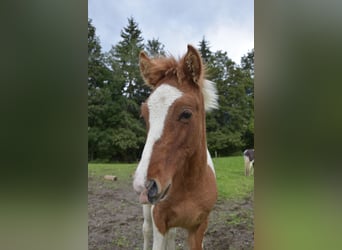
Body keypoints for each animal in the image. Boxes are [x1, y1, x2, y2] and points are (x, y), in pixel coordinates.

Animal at [132, 45, 218, 250]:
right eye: (144, 114)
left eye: (186, 113)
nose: (145, 185)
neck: (189, 186)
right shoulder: (159, 221)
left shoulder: (199, 227)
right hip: (147, 211)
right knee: (145, 230)